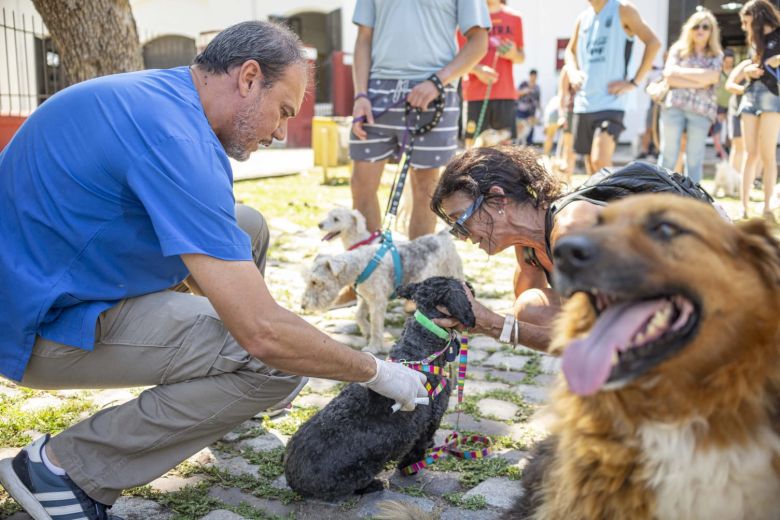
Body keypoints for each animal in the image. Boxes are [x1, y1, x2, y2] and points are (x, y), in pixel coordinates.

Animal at [302, 232, 464, 354]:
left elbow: (376, 325)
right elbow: (359, 315)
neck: (362, 265)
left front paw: (373, 347)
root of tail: (443, 234)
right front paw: (366, 332)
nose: (303, 306)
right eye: (309, 280)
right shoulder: (366, 297)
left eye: (316, 282)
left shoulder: (378, 301)